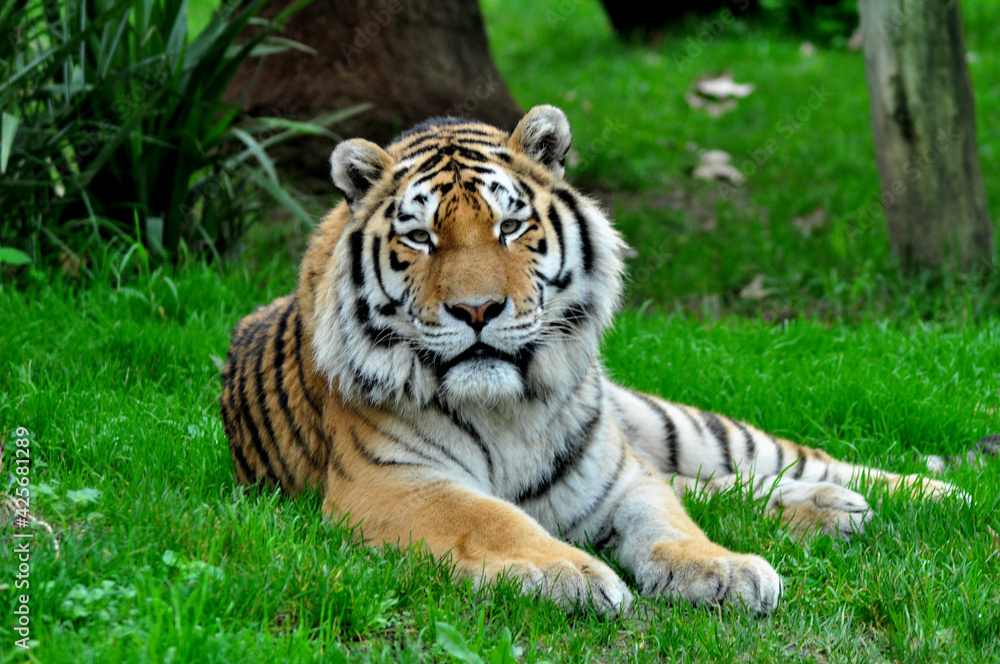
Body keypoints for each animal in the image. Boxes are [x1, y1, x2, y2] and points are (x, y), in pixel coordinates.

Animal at [220, 105, 963, 615]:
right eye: (421, 238)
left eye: (510, 226)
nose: (477, 311)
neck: (507, 410)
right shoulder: (392, 482)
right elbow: (490, 517)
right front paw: (570, 574)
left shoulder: (619, 473)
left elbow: (671, 521)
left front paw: (723, 568)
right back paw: (836, 509)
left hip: (668, 424)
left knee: (767, 461)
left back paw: (935, 494)